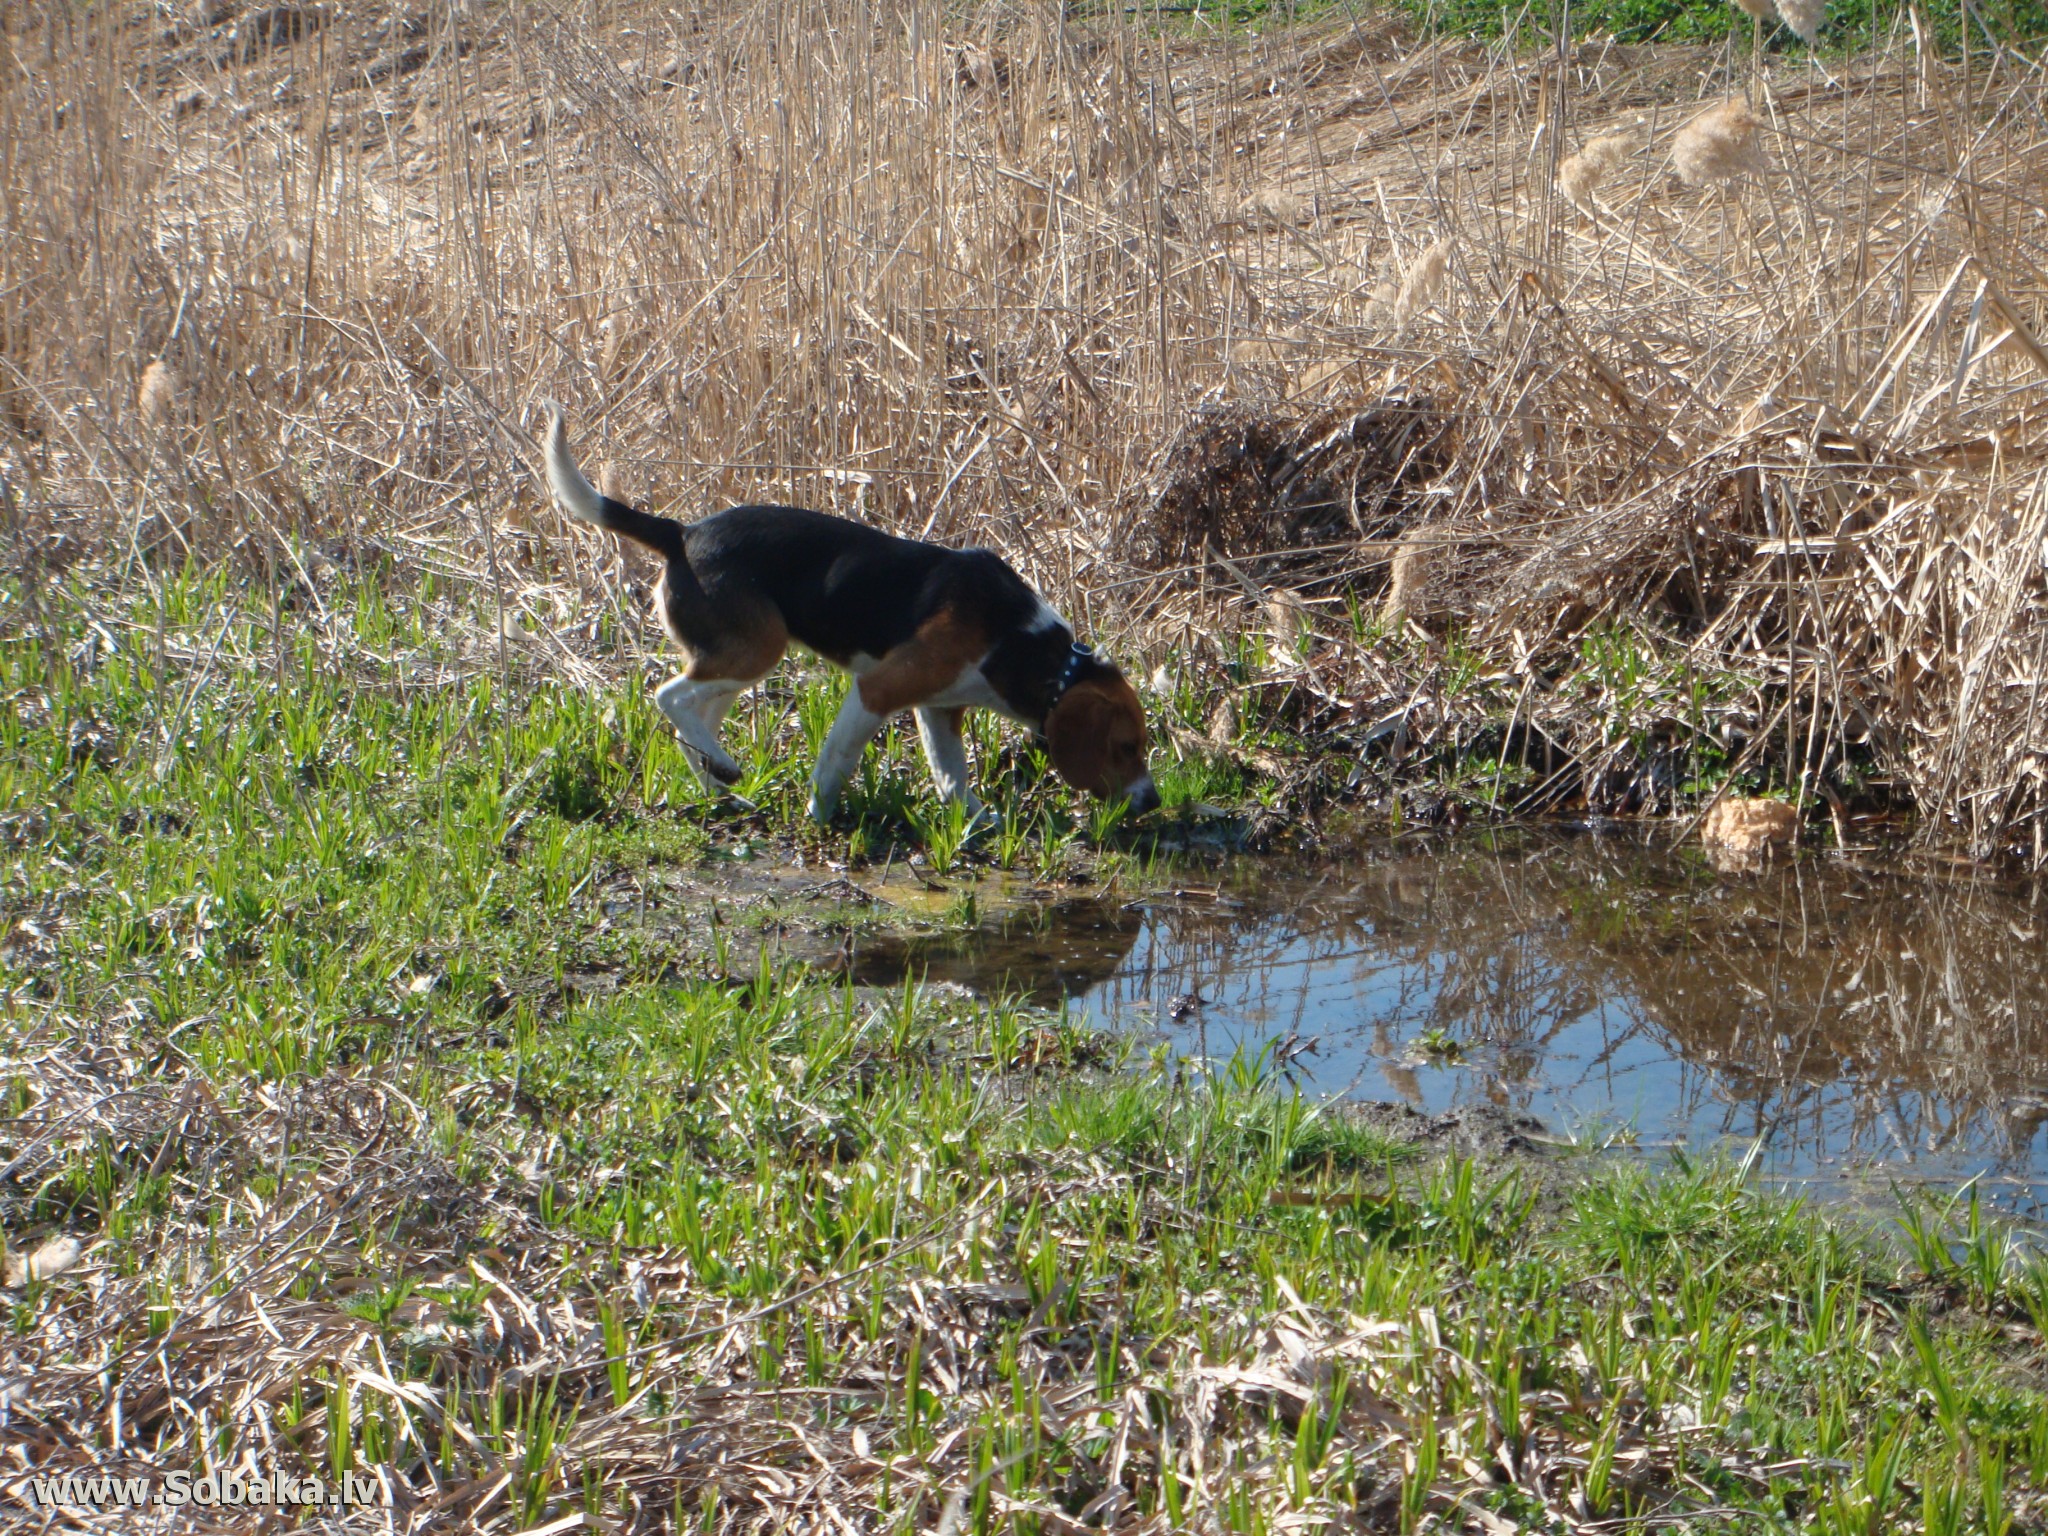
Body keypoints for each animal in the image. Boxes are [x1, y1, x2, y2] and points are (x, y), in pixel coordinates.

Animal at [540, 403, 1155, 823]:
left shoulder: (939, 709)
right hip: (757, 650)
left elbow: (951, 776)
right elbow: (838, 758)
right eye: (1126, 747)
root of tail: (682, 533)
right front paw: (821, 814)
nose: (1150, 802)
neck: (1026, 645)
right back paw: (725, 770)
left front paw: (977, 822)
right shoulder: (879, 689)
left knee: (691, 720)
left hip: (731, 662)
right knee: (669, 697)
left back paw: (719, 783)